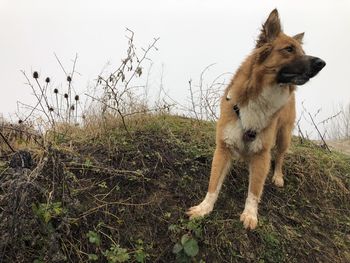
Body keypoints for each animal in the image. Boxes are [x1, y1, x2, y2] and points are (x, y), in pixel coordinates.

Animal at [187, 9, 326, 230]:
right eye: (288, 49)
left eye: (302, 51)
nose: (322, 63)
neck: (261, 96)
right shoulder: (223, 147)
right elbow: (213, 183)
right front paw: (204, 208)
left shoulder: (262, 154)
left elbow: (254, 190)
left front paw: (250, 215)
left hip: (284, 135)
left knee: (280, 156)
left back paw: (277, 176)